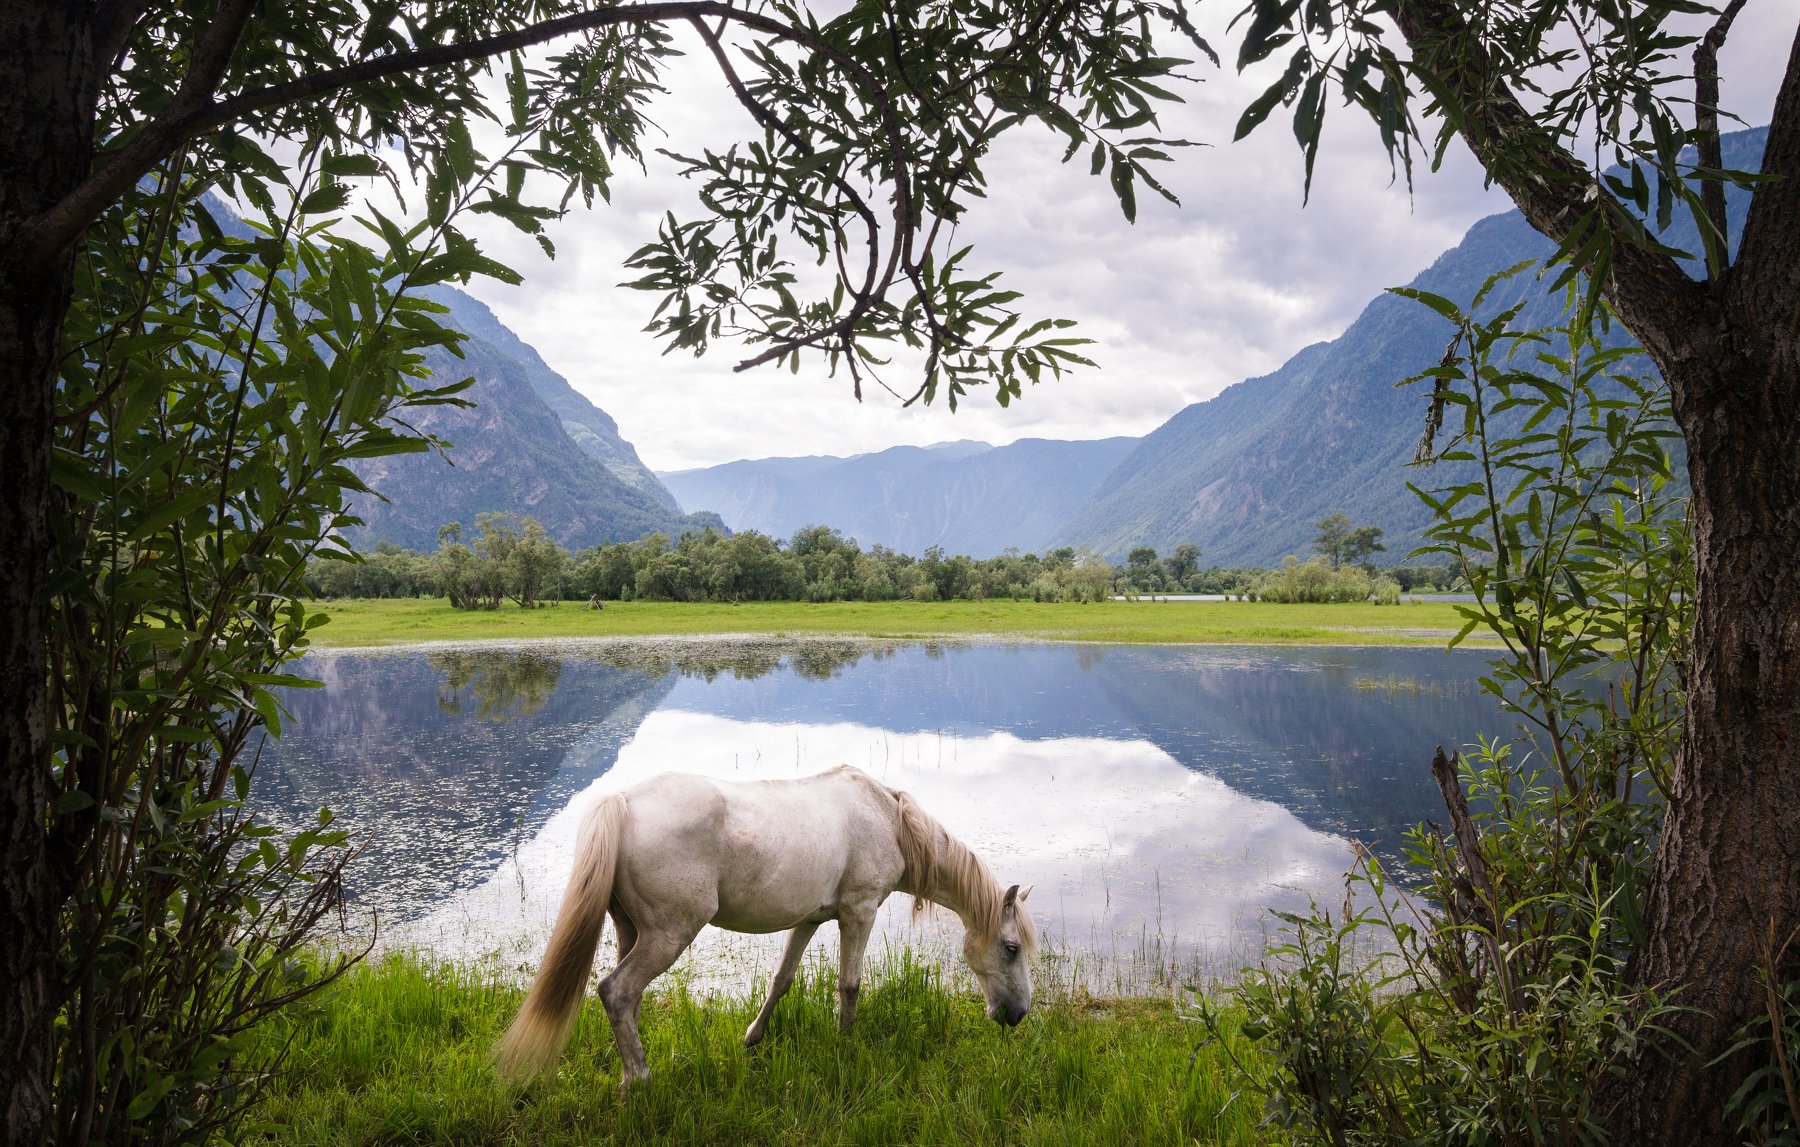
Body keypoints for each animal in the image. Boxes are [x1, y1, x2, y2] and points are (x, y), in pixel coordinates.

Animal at [493, 759, 1036, 1080]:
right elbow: (850, 985)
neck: (889, 818)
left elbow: (781, 980)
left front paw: (752, 1039)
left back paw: (632, 1069)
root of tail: (623, 804)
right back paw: (639, 1080)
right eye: (1011, 948)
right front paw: (846, 1047)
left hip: (632, 931)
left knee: (629, 999)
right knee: (617, 991)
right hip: (669, 935)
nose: (1018, 1015)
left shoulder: (809, 919)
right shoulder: (858, 912)